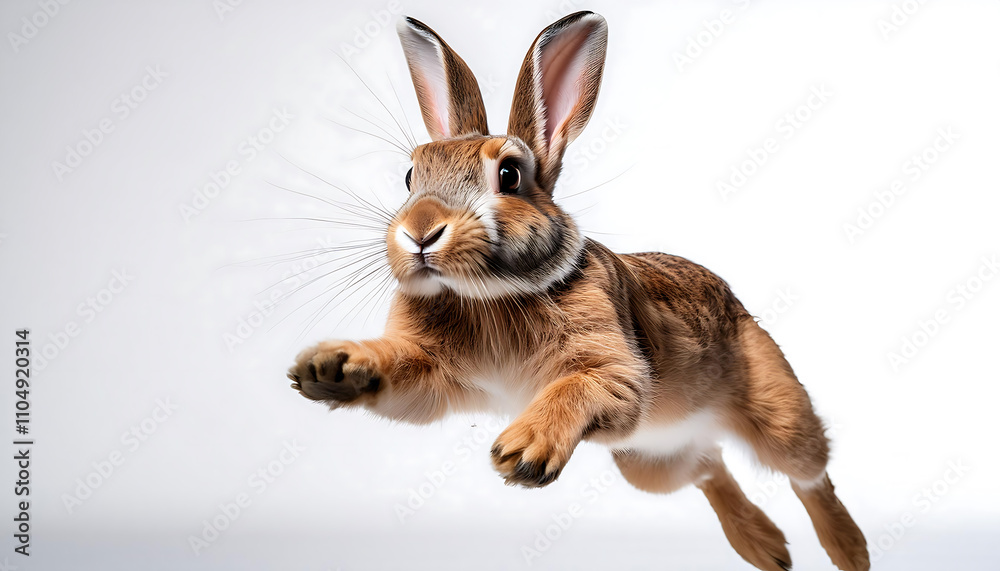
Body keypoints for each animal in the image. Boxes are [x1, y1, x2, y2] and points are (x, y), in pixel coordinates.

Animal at [287, 11, 869, 571]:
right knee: (708, 468)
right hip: (648, 461)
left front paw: (522, 451)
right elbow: (400, 374)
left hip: (776, 408)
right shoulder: (433, 371)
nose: (421, 232)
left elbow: (578, 386)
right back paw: (765, 548)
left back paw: (849, 551)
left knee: (809, 474)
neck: (488, 295)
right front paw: (329, 368)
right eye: (411, 176)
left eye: (509, 175)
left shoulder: (618, 371)